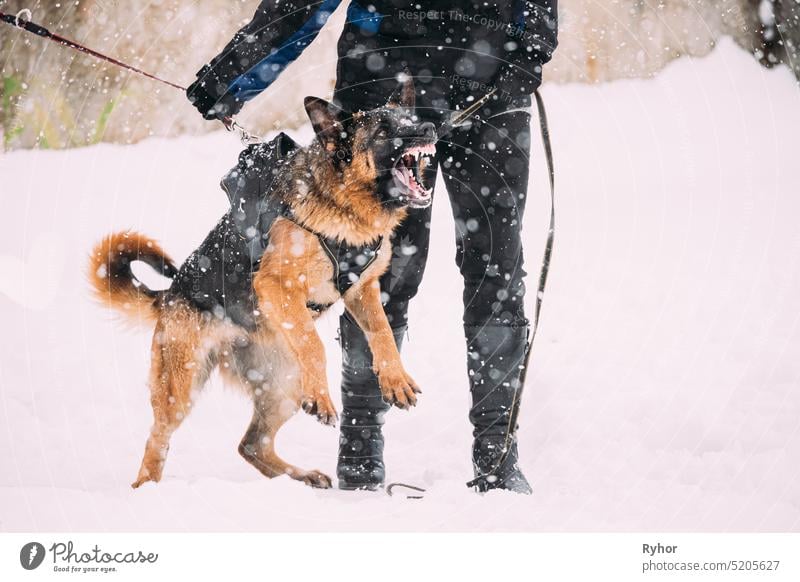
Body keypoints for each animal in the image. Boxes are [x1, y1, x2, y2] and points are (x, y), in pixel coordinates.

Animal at [92, 76, 438, 488]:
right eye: (384, 131)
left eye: (411, 119)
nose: (430, 128)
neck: (341, 206)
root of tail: (170, 294)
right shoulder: (277, 285)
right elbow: (313, 344)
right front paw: (325, 396)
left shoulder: (362, 290)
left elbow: (382, 332)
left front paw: (395, 378)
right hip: (182, 385)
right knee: (156, 440)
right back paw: (147, 490)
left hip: (285, 385)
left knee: (251, 445)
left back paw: (303, 476)